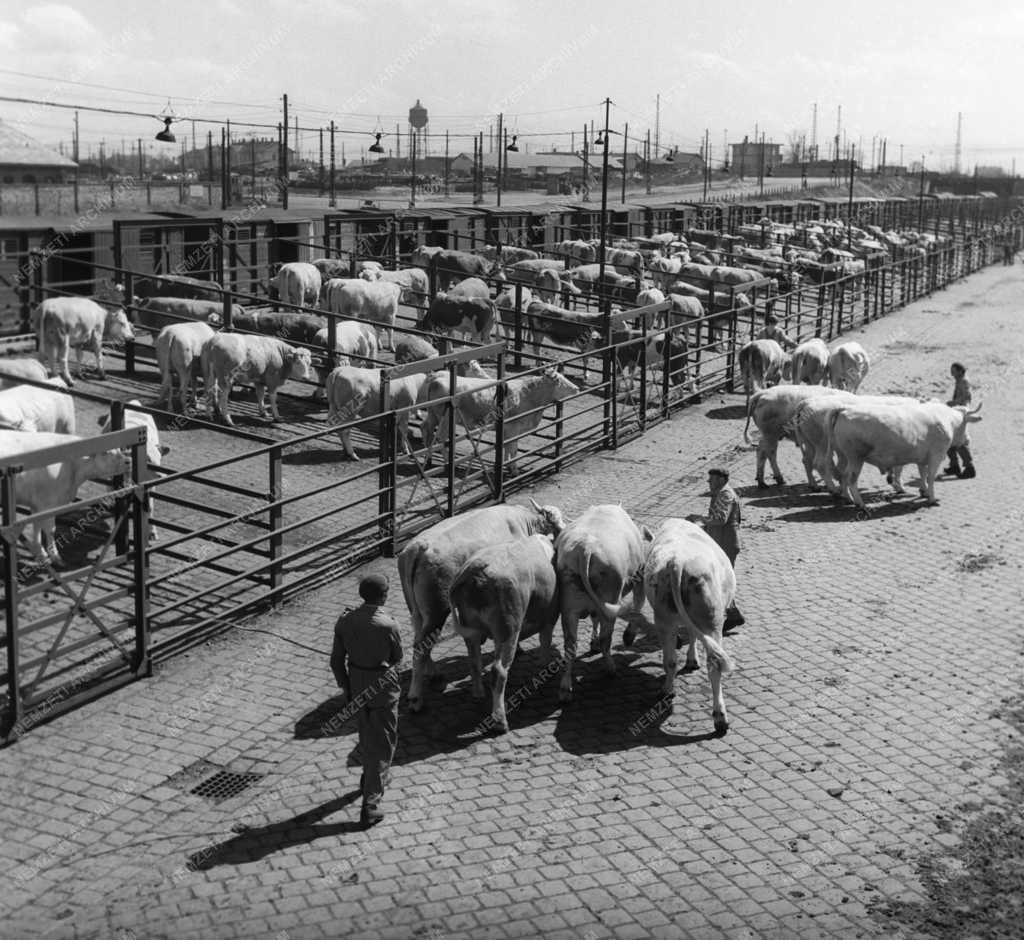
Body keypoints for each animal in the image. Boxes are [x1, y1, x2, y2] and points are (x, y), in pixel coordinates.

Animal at [638, 522, 737, 737]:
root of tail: (677, 562)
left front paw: (691, 660)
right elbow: (692, 635)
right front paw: (693, 660)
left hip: (664, 617)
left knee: (671, 660)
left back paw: (669, 690)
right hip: (712, 619)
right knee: (714, 666)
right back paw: (720, 717)